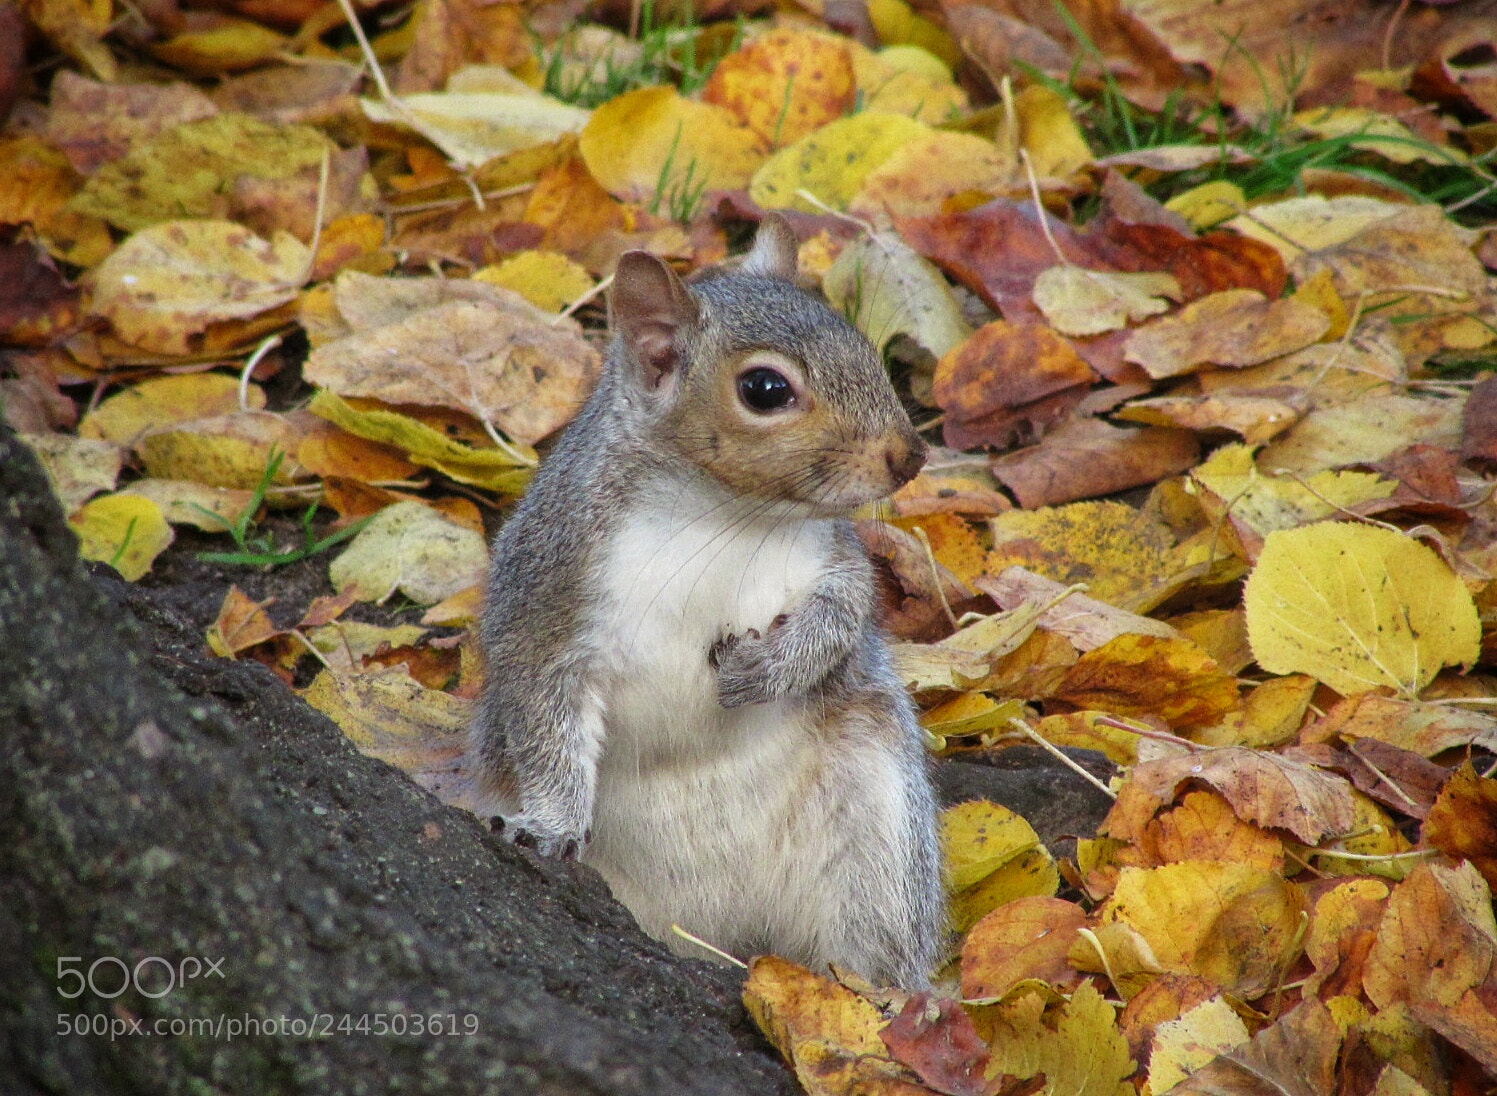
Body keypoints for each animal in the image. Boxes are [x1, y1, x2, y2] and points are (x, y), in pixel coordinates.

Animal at [469, 215, 944, 988]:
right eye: (765, 389)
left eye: (859, 342)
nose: (909, 456)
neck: (722, 518)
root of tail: (718, 932)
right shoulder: (546, 593)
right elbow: (543, 716)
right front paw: (549, 824)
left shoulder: (834, 557)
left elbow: (843, 615)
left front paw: (771, 666)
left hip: (876, 820)